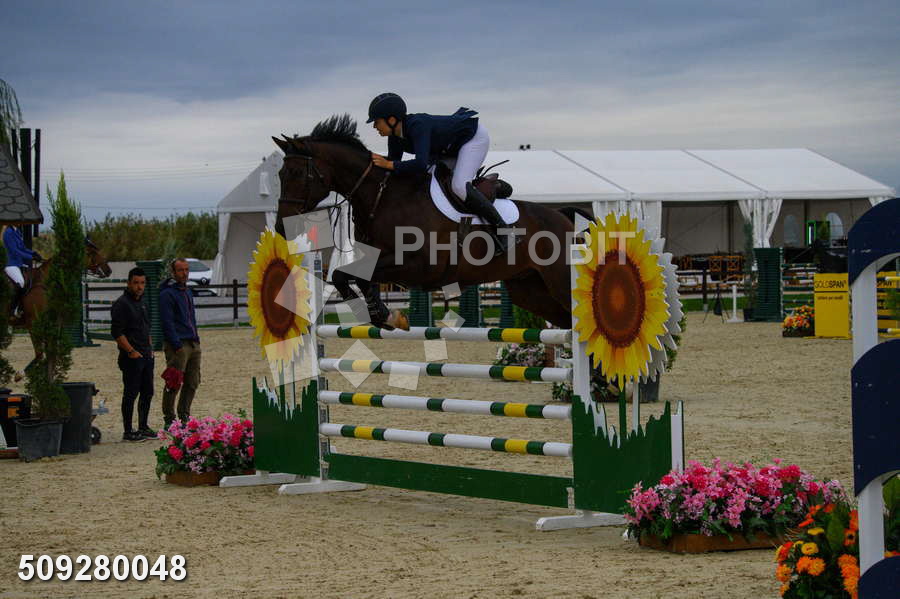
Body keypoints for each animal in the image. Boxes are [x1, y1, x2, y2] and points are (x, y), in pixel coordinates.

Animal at [11, 238, 111, 373]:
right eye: (92, 253)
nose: (108, 270)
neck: (44, 281)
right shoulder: (33, 323)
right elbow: (39, 354)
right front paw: (21, 374)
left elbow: (47, 352)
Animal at [272, 115, 581, 329]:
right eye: (279, 174)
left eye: (298, 173)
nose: (281, 227)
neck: (382, 196)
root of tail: (562, 217)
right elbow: (345, 276)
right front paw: (382, 315)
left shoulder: (417, 265)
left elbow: (356, 276)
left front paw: (388, 315)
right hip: (529, 290)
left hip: (560, 280)